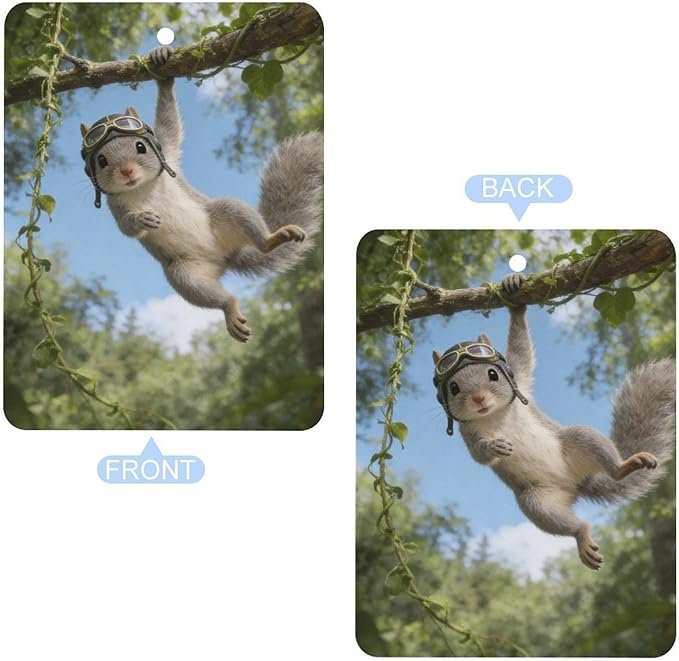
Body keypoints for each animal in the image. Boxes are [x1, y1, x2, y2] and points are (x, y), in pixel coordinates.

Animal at [79, 46, 323, 342]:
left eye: (140, 147)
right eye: (101, 161)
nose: (126, 172)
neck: (141, 186)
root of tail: (225, 259)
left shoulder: (168, 152)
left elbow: (169, 123)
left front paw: (162, 64)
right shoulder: (116, 205)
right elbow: (126, 227)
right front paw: (142, 219)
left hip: (228, 212)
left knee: (257, 237)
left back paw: (273, 238)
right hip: (184, 275)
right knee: (216, 297)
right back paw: (230, 308)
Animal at [432, 273, 675, 570]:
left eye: (492, 374)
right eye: (454, 388)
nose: (478, 399)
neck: (493, 414)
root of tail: (577, 485)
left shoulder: (519, 377)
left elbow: (521, 350)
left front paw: (514, 291)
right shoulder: (468, 432)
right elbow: (478, 454)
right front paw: (494, 447)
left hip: (581, 438)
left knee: (610, 466)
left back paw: (625, 465)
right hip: (537, 502)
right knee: (571, 525)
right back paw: (582, 536)